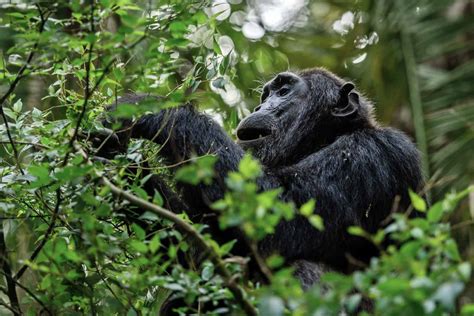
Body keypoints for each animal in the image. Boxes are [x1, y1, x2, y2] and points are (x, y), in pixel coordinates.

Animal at [95, 68, 422, 292]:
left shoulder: (367, 156)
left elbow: (280, 214)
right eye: (266, 95)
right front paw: (112, 163)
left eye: (284, 91)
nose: (259, 107)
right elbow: (201, 254)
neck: (325, 138)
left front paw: (148, 108)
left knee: (305, 266)